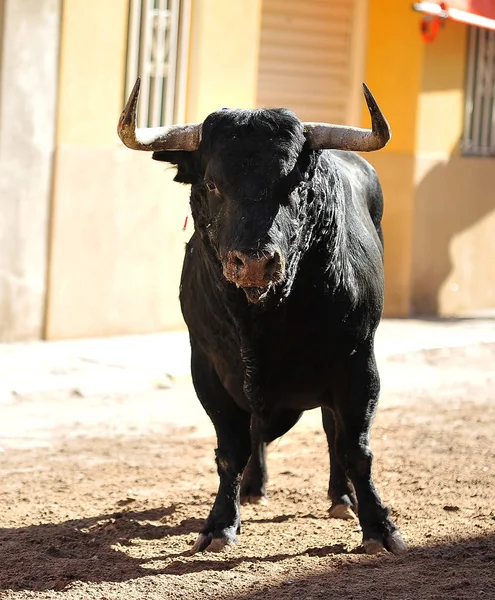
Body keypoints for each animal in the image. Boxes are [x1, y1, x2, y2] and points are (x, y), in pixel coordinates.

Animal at [119, 79, 406, 556]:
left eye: (293, 182)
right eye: (212, 183)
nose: (254, 263)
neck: (264, 318)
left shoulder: (357, 362)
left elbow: (355, 446)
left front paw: (380, 526)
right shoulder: (208, 367)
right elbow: (231, 449)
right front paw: (220, 523)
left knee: (331, 429)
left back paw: (341, 497)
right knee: (257, 434)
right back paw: (254, 488)